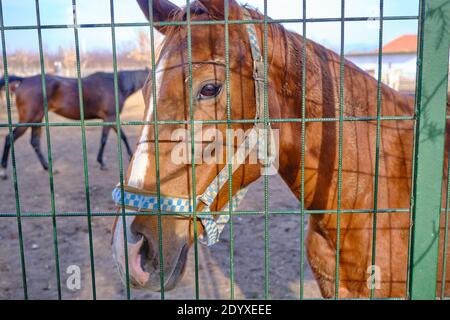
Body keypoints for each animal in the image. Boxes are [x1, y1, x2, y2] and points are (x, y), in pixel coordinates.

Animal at [0, 69, 148, 179]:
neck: (116, 85)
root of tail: (24, 80)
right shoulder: (110, 117)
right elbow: (107, 139)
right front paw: (104, 162)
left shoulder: (109, 118)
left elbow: (119, 136)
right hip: (29, 119)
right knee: (9, 138)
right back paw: (3, 171)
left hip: (37, 120)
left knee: (35, 142)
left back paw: (48, 168)